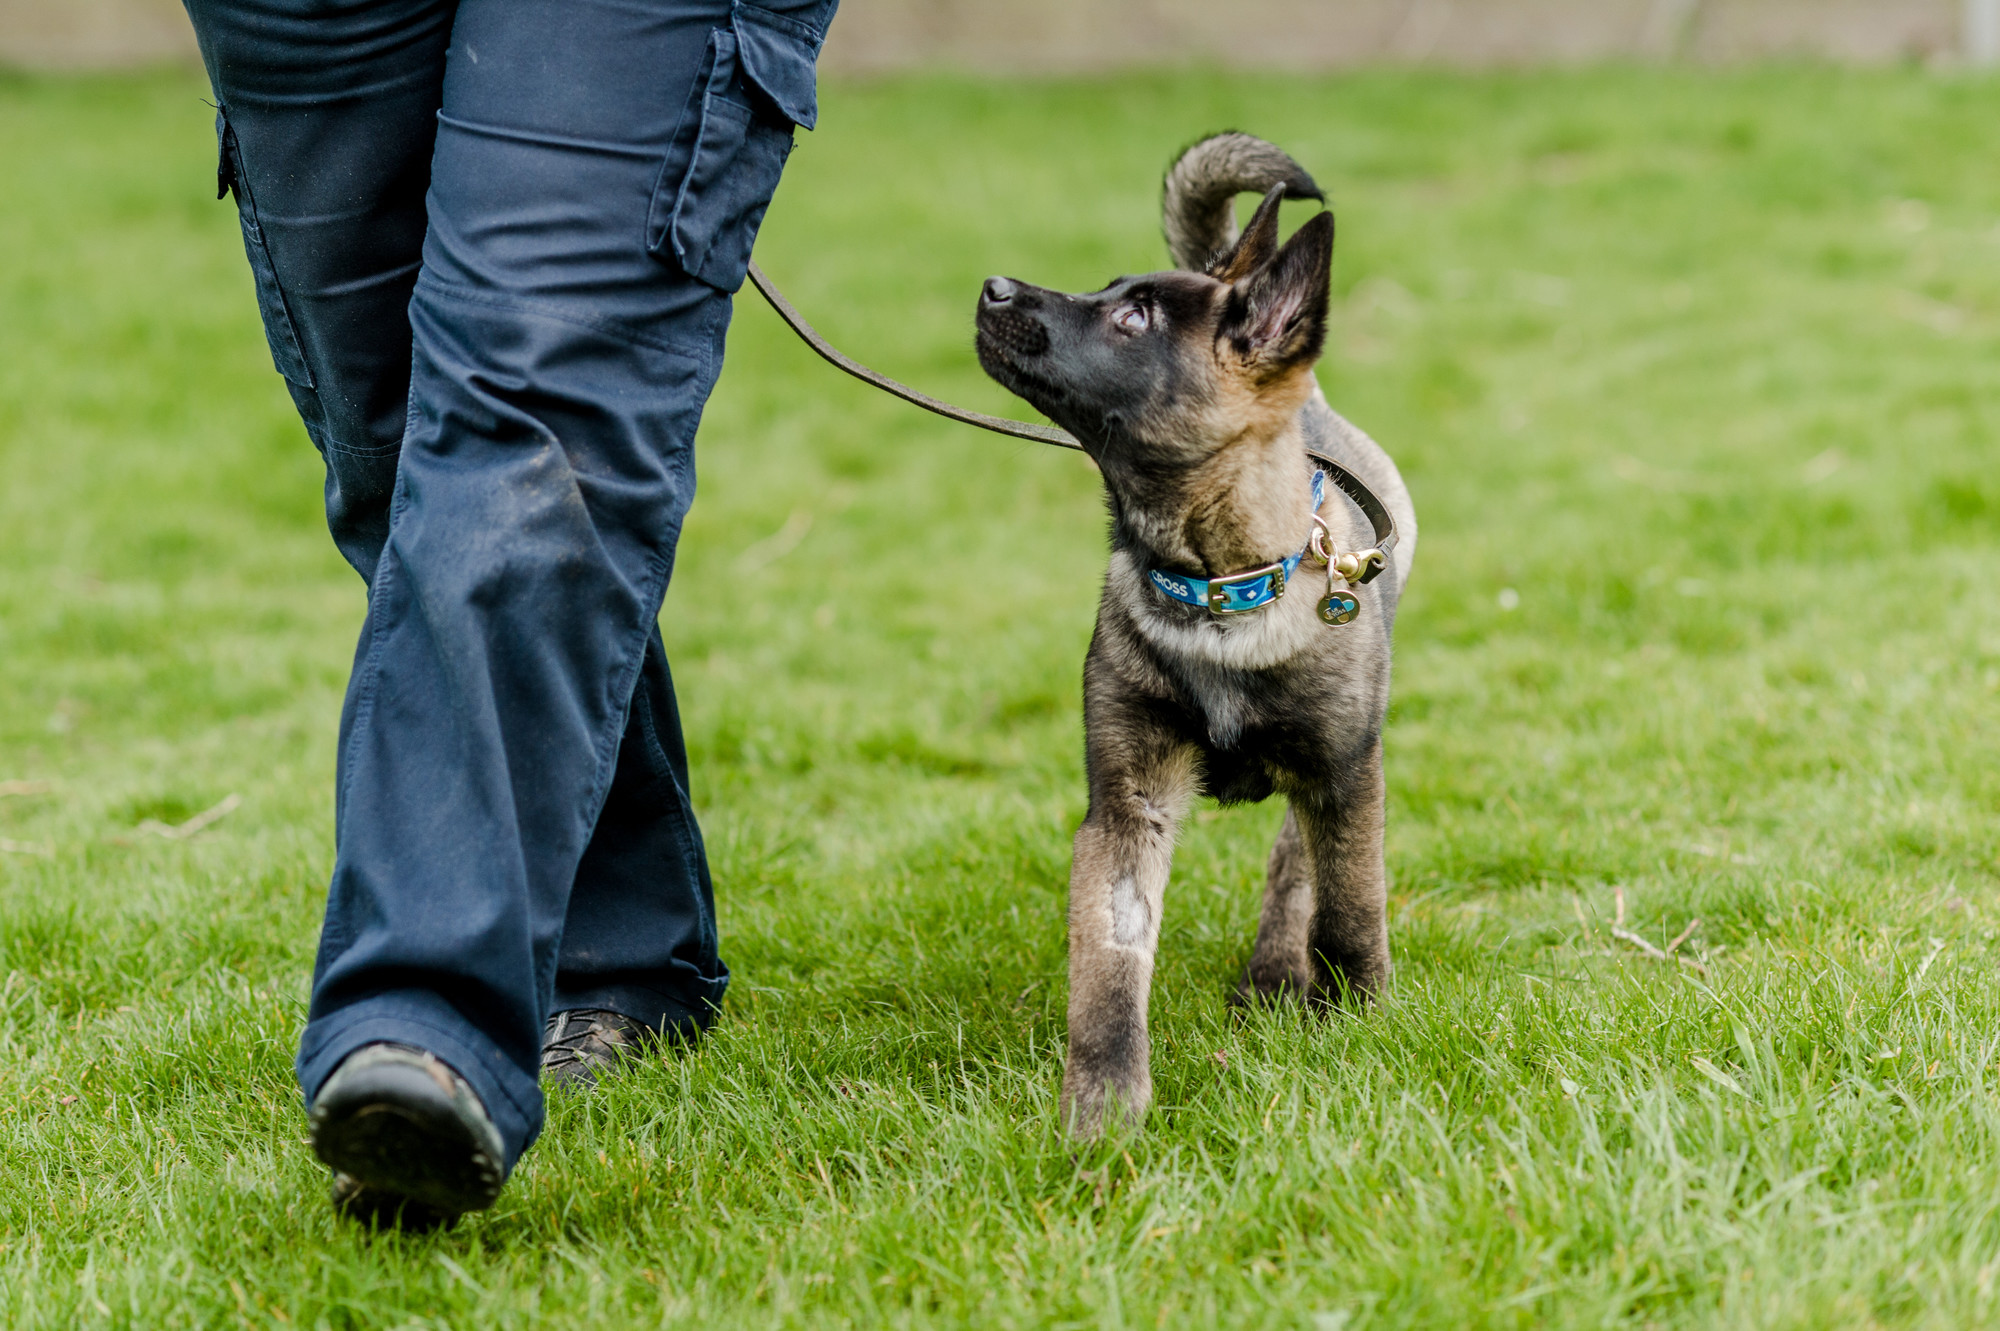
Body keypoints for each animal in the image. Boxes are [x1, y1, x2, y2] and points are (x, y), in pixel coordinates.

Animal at [972, 131, 1416, 1127]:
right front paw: (1103, 1113)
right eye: (1109, 290)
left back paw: (1279, 972)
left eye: (1134, 318)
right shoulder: (1125, 805)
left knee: (1298, 861)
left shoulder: (1346, 771)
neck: (1220, 588)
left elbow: (1349, 906)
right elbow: (1107, 962)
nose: (992, 287)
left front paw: (1360, 1020)